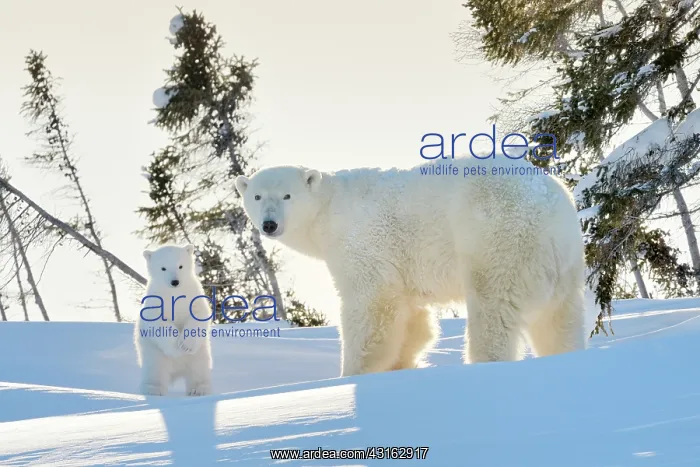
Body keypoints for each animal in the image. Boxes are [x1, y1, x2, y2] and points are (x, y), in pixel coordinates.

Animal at [134, 244, 213, 396]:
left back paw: (199, 389)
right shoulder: (155, 301)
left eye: (180, 266)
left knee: (199, 368)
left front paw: (185, 345)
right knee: (155, 369)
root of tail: (176, 372)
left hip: (201, 352)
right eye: (163, 268)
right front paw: (177, 348)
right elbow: (158, 322)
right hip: (153, 353)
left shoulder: (193, 296)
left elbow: (198, 315)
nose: (175, 282)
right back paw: (153, 389)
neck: (174, 294)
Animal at [234, 155, 587, 377]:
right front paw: (403, 364)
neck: (329, 208)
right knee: (558, 321)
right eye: (257, 196)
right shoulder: (404, 268)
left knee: (492, 310)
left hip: (496, 241)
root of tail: (551, 210)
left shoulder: (363, 243)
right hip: (564, 265)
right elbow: (412, 317)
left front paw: (351, 373)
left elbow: (371, 305)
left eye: (287, 196)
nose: (269, 224)